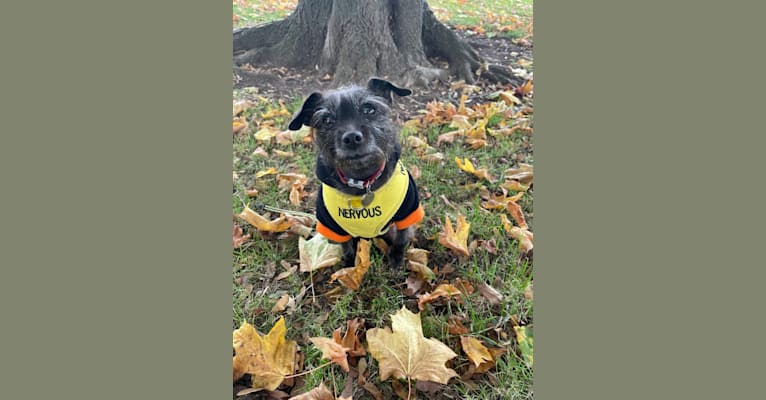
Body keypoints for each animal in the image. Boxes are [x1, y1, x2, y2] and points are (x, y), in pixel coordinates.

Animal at [288, 77, 424, 268]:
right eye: (327, 120)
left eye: (369, 109)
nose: (352, 138)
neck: (363, 182)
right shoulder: (334, 228)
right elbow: (347, 249)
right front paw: (348, 268)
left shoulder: (407, 212)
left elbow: (401, 239)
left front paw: (396, 259)